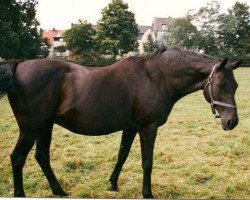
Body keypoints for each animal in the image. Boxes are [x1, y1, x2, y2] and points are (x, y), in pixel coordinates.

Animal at [0, 47, 242, 198]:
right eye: (220, 85)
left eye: (236, 86)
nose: (232, 122)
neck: (156, 78)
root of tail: (18, 66)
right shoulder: (148, 128)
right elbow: (147, 162)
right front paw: (147, 194)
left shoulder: (131, 127)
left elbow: (122, 155)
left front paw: (113, 184)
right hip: (31, 128)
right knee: (18, 158)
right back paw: (22, 194)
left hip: (45, 126)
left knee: (42, 157)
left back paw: (59, 191)